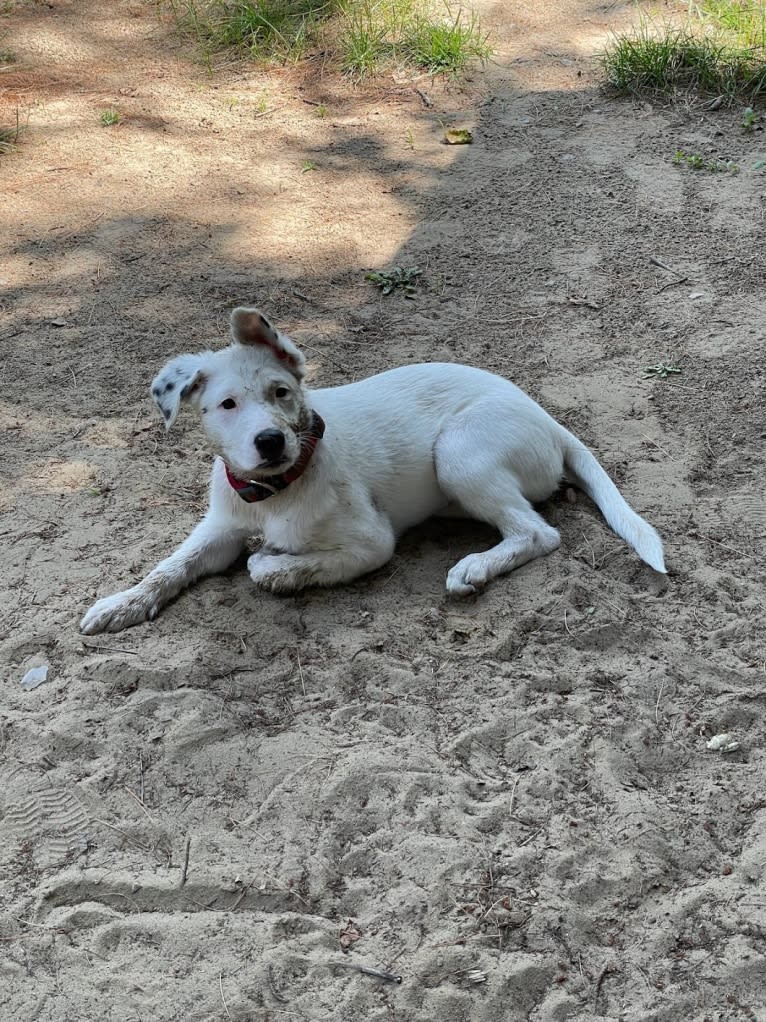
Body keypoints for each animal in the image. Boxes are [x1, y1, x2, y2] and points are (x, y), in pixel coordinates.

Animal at [79, 306, 665, 633]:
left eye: (281, 392)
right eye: (226, 405)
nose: (270, 441)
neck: (275, 492)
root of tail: (547, 419)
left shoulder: (372, 543)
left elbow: (282, 565)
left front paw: (275, 565)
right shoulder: (220, 527)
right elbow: (170, 566)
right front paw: (121, 604)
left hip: (459, 453)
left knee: (538, 532)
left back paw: (475, 567)